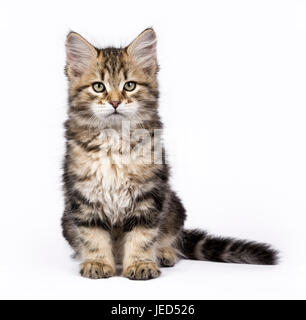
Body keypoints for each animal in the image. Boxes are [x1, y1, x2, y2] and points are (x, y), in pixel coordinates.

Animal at [61, 30, 278, 280]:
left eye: (129, 86)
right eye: (98, 87)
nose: (115, 102)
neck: (114, 139)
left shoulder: (149, 192)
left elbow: (142, 235)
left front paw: (140, 264)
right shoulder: (83, 195)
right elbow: (92, 236)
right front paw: (96, 262)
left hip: (174, 206)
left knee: (169, 238)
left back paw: (164, 253)